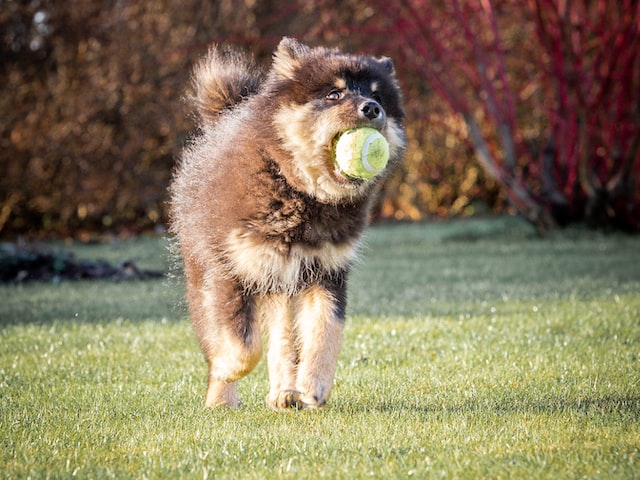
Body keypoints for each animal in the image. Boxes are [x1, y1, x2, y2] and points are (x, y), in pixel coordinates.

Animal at [170, 36, 404, 408]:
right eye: (334, 94)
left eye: (378, 97)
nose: (370, 109)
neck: (298, 190)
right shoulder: (230, 271)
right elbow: (242, 343)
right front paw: (227, 370)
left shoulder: (326, 270)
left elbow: (326, 331)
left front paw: (314, 385)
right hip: (209, 272)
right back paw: (222, 398)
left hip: (282, 278)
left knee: (283, 336)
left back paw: (285, 391)